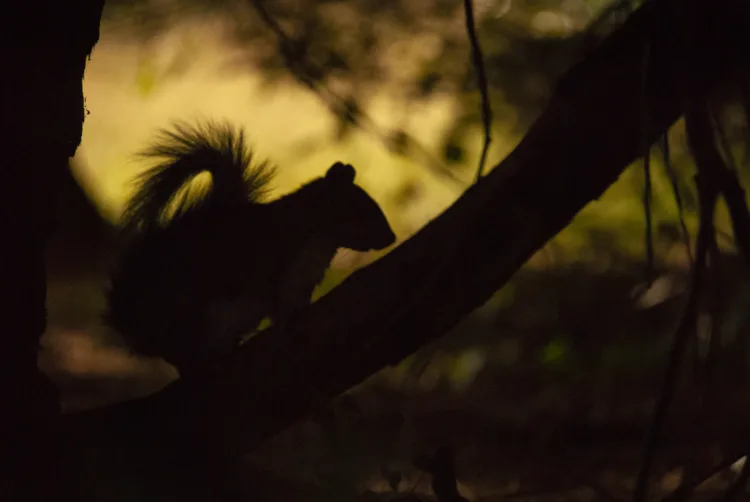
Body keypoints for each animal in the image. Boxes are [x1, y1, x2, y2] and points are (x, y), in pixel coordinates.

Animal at [103, 120, 396, 376]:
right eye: (359, 206)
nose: (391, 237)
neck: (318, 237)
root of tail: (129, 321)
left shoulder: (304, 281)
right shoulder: (272, 262)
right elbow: (275, 300)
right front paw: (285, 321)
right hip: (191, 315)